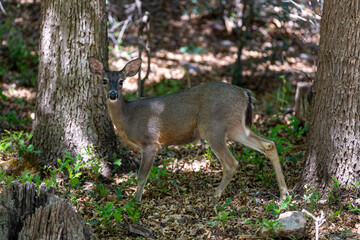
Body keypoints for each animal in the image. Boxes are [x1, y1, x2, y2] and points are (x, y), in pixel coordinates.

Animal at [88, 57, 288, 202]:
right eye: (104, 80)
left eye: (121, 81)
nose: (113, 95)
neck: (128, 117)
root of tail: (245, 93)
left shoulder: (151, 141)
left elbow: (142, 175)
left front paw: (135, 201)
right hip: (236, 127)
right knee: (269, 144)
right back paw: (284, 193)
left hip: (211, 125)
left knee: (231, 163)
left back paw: (216, 195)